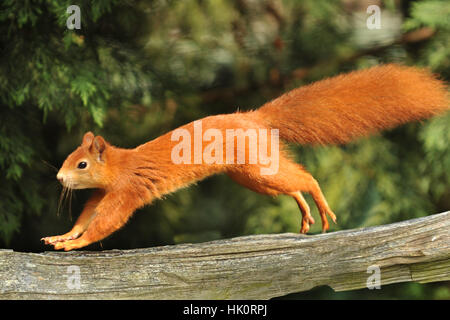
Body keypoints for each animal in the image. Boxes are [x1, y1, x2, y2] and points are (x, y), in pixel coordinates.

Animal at [40, 64, 448, 250]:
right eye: (70, 157)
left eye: (81, 164)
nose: (58, 179)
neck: (118, 165)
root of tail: (255, 118)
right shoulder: (101, 193)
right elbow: (87, 216)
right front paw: (63, 235)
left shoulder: (126, 191)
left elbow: (105, 223)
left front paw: (74, 244)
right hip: (250, 176)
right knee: (290, 183)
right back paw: (304, 212)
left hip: (257, 170)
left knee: (304, 178)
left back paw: (319, 204)